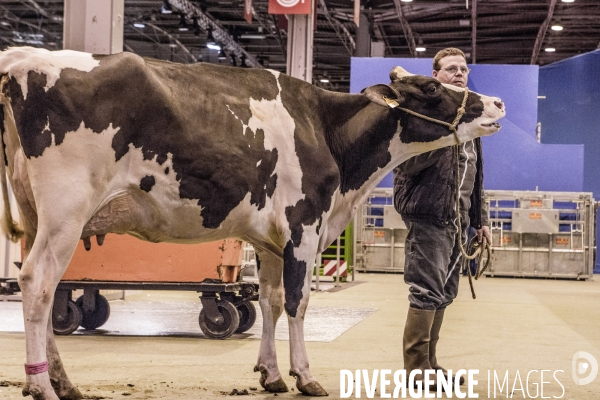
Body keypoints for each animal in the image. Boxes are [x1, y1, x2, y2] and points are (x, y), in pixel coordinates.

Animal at [0, 47, 506, 400]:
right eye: (434, 89)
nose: (499, 102)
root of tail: (24, 58)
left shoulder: (266, 240)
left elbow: (271, 302)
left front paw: (271, 374)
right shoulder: (304, 225)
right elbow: (299, 303)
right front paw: (305, 376)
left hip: (38, 214)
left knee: (43, 289)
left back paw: (62, 382)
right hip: (66, 209)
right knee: (38, 282)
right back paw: (40, 385)